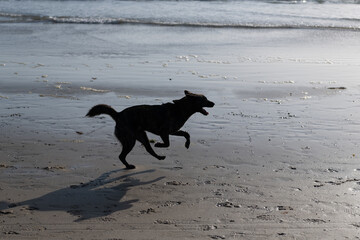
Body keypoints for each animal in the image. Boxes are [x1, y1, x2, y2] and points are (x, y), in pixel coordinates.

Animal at [86, 90, 214, 169]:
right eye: (204, 99)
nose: (213, 103)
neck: (180, 109)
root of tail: (118, 115)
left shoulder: (173, 131)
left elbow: (186, 134)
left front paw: (187, 144)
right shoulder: (164, 132)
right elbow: (167, 143)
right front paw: (158, 144)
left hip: (141, 136)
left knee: (148, 149)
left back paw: (159, 157)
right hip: (129, 140)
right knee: (122, 156)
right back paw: (129, 166)